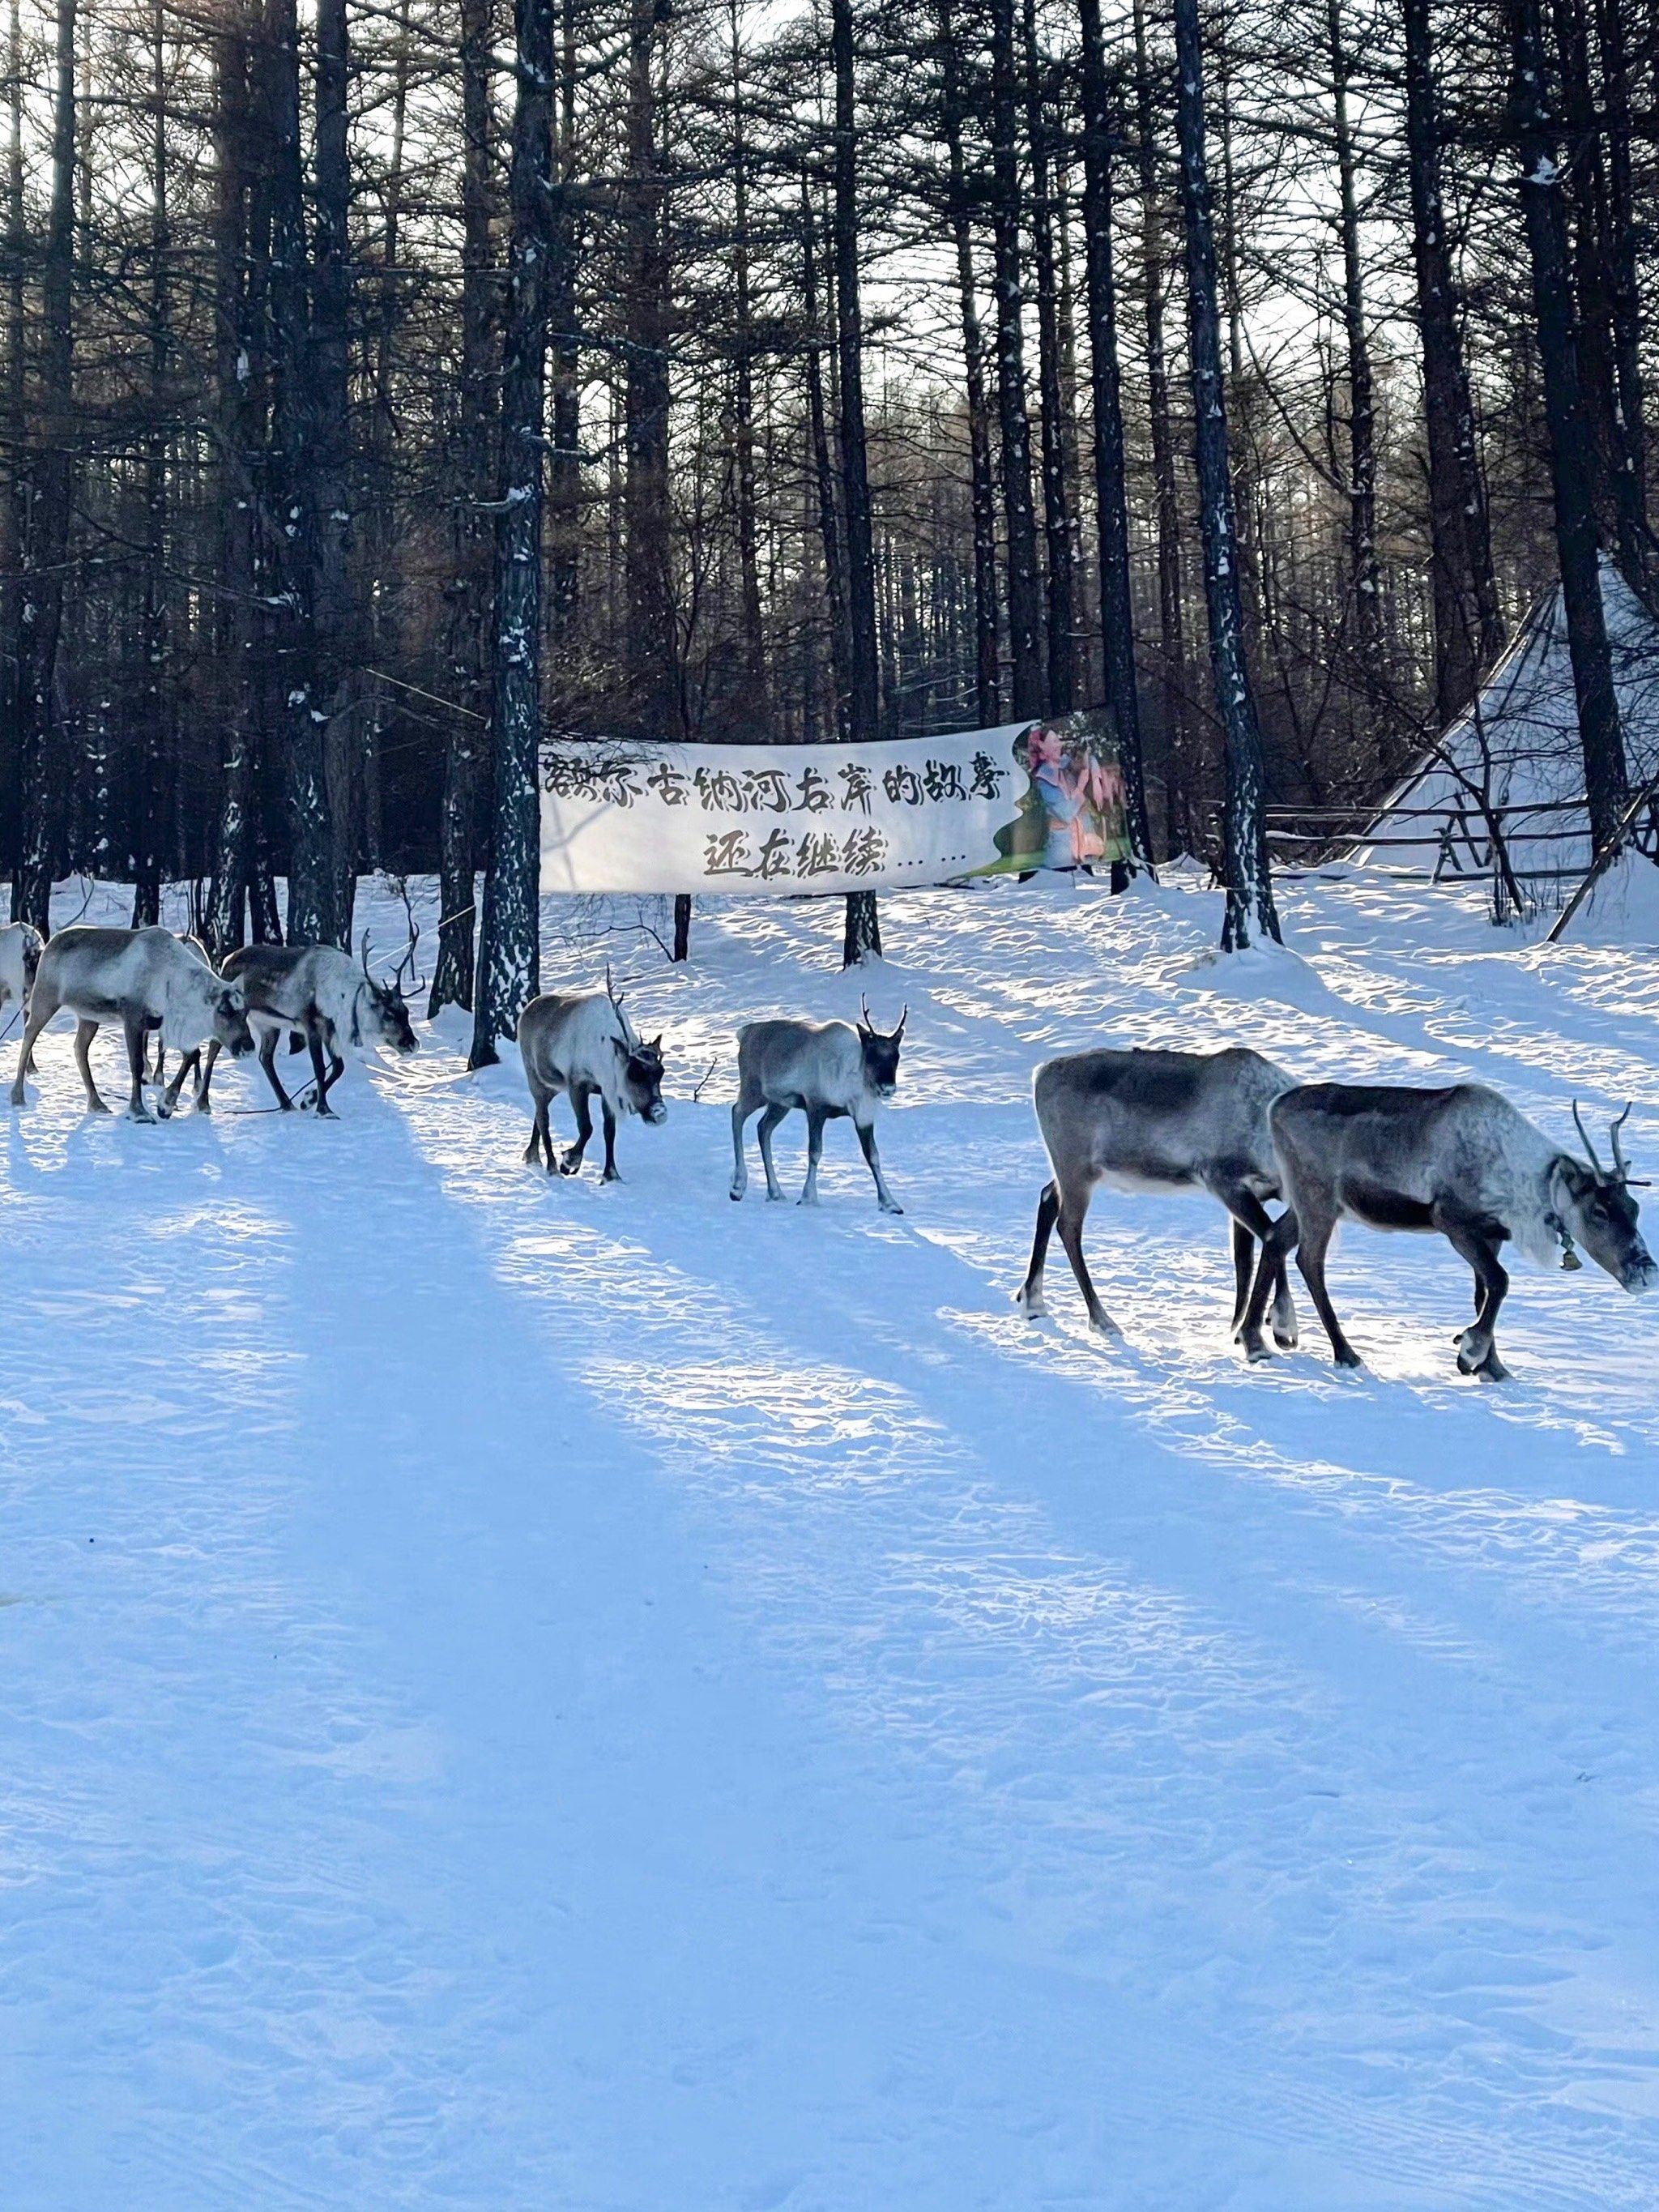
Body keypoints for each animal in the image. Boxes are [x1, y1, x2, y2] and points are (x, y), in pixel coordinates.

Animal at [10, 925, 253, 1122]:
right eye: (223, 1010)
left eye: (245, 1011)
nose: (248, 1046)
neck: (173, 985)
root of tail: (50, 942)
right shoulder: (133, 1018)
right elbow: (136, 1065)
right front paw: (139, 1112)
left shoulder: (165, 1025)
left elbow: (192, 1055)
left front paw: (166, 1105)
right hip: (45, 998)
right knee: (29, 1035)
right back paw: (17, 1096)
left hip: (89, 1017)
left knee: (80, 1048)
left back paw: (97, 1103)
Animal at [518, 967, 666, 1181]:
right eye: (635, 1073)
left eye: (661, 1072)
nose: (660, 1113)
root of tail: (526, 1010)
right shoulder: (577, 1084)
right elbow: (587, 1127)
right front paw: (569, 1162)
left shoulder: (606, 1090)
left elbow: (609, 1131)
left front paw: (611, 1175)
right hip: (535, 1078)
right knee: (544, 1118)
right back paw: (552, 1168)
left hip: (553, 1087)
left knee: (538, 1114)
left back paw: (532, 1156)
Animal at [730, 996, 906, 1212]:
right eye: (873, 1055)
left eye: (896, 1056)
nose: (888, 1088)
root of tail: (744, 1033)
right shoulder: (815, 1107)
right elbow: (814, 1152)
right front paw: (808, 1198)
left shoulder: (863, 1116)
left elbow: (873, 1156)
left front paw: (890, 1203)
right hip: (754, 1090)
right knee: (737, 1113)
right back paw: (737, 1187)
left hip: (780, 1104)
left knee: (763, 1128)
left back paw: (775, 1192)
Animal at [1016, 1045, 1300, 1346]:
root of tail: (1040, 1073)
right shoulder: (1222, 1181)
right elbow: (1271, 1238)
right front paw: (1282, 1324)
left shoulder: (1256, 1193)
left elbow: (1248, 1258)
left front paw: (1245, 1327)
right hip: (1076, 1170)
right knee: (1068, 1226)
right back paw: (1102, 1319)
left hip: (1072, 1172)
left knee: (1047, 1197)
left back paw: (1033, 1301)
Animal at [1237, 1083, 1657, 1379]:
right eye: (1599, 1211)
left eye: (1634, 1208)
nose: (1647, 1272)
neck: (1524, 1183)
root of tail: (1274, 1107)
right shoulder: (1453, 1224)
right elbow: (1501, 1283)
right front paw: (1470, 1352)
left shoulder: (1491, 1235)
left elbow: (1484, 1292)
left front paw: (1494, 1368)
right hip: (1318, 1199)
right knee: (1309, 1260)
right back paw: (1345, 1353)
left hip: (1310, 1204)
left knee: (1274, 1239)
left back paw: (1255, 1341)